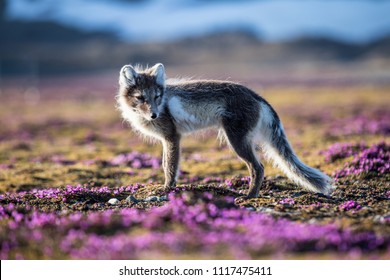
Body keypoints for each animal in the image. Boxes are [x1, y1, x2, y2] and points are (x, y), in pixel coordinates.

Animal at [116, 64, 332, 199]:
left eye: (157, 96)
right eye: (141, 97)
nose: (154, 115)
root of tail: (256, 95)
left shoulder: (172, 137)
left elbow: (170, 167)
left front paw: (167, 189)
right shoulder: (166, 140)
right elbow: (163, 164)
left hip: (237, 140)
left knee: (259, 167)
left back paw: (250, 196)